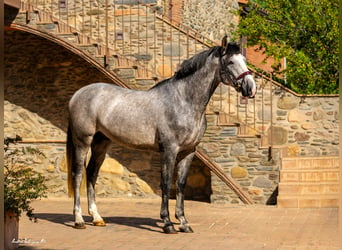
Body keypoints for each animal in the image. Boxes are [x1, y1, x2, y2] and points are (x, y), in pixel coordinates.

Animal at [67, 38, 255, 233]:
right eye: (231, 62)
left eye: (244, 60)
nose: (250, 87)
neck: (183, 101)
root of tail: (78, 94)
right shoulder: (169, 150)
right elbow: (166, 183)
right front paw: (167, 223)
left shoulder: (189, 152)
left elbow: (180, 185)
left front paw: (184, 223)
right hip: (82, 141)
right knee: (78, 174)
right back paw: (79, 220)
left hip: (101, 142)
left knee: (92, 173)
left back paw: (97, 218)